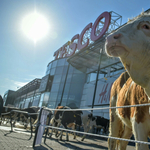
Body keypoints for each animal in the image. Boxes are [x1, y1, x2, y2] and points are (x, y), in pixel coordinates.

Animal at [105, 11, 150, 150]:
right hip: (114, 113)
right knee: (113, 139)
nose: (109, 38)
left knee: (123, 141)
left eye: (146, 26)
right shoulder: (138, 121)